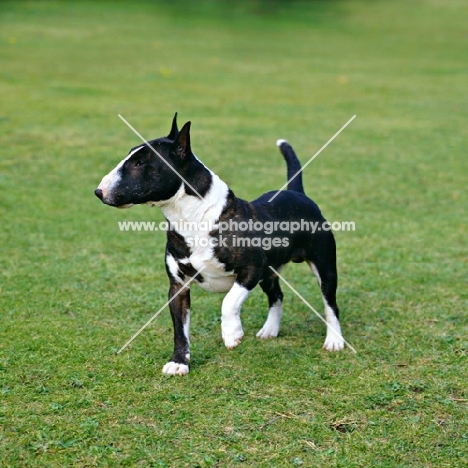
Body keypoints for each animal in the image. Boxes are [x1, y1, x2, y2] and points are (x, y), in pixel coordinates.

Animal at [94, 115, 344, 374]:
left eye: (140, 163)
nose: (99, 191)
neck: (193, 218)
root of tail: (298, 193)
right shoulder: (178, 286)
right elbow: (180, 329)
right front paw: (178, 363)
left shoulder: (251, 269)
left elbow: (229, 301)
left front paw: (232, 334)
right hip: (270, 272)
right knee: (277, 295)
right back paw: (269, 330)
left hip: (324, 266)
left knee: (330, 304)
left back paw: (334, 341)